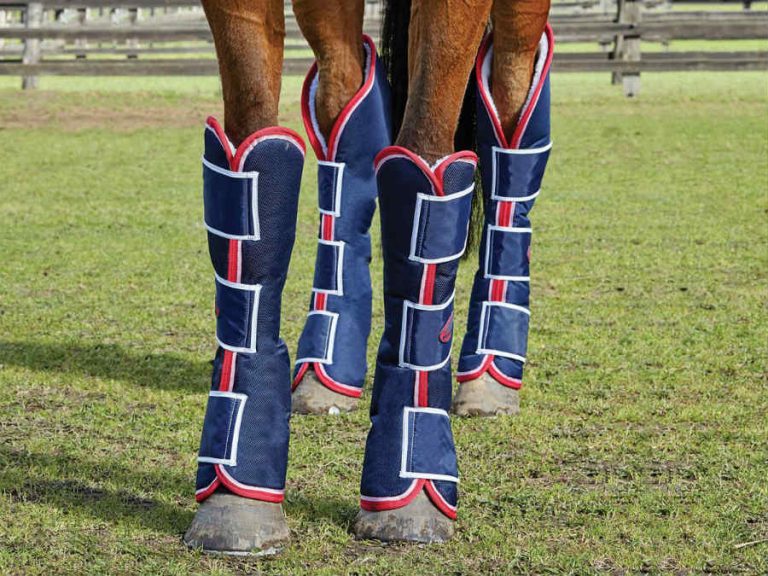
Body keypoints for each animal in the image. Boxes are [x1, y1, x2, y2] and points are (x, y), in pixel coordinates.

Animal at [183, 0, 553, 554]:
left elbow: (424, 156)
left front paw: (411, 499)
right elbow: (254, 146)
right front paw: (236, 501)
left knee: (510, 100)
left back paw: (491, 373)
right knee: (344, 102)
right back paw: (327, 375)